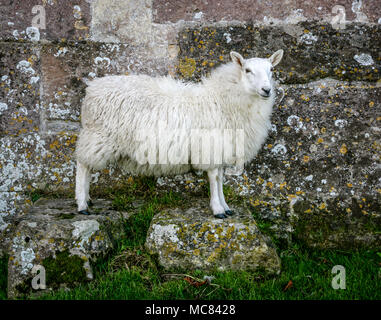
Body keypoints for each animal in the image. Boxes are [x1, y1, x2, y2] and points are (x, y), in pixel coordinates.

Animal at [75, 50, 282, 219]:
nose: (267, 90)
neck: (223, 99)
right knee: (83, 166)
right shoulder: (210, 147)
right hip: (98, 138)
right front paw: (218, 209)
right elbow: (214, 178)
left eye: (271, 69)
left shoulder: (222, 148)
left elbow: (220, 179)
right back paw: (82, 204)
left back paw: (88, 199)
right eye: (247, 70)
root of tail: (92, 88)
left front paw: (226, 206)